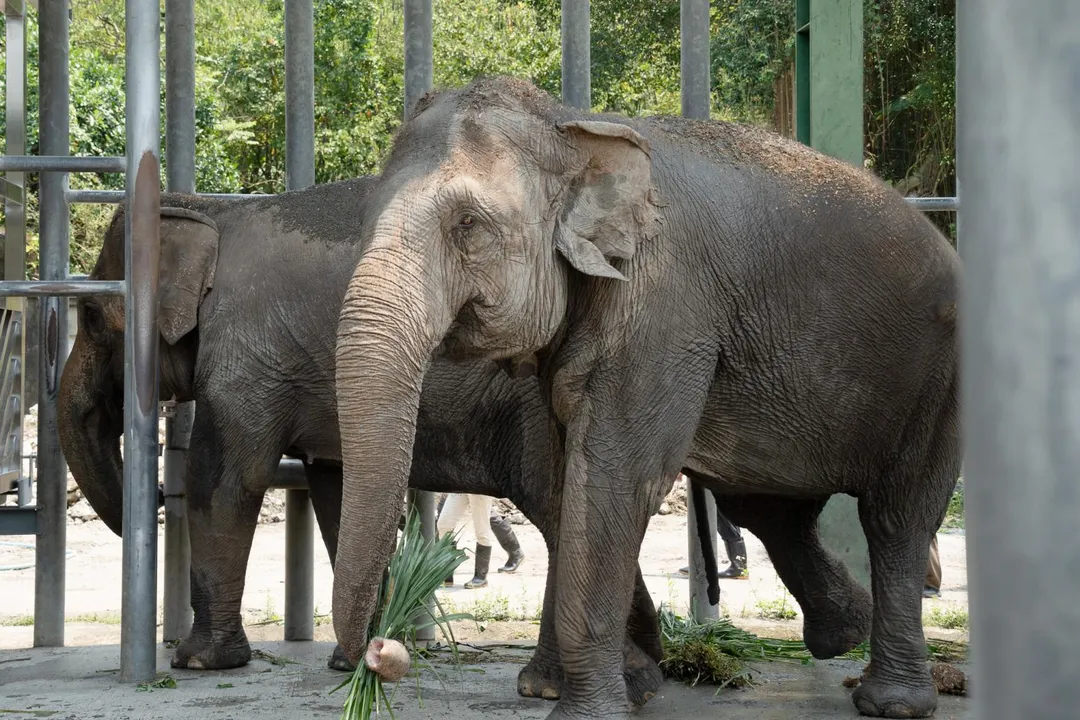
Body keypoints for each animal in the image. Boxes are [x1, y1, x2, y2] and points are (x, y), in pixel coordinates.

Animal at [55, 176, 667, 700]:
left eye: (90, 315)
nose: (159, 499)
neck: (207, 209)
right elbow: (339, 490)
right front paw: (351, 663)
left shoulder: (247, 360)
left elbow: (225, 481)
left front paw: (199, 663)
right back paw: (637, 670)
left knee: (562, 510)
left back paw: (550, 686)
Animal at [330, 76, 961, 720]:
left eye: (467, 224)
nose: (379, 653)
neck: (571, 125)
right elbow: (564, 481)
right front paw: (614, 688)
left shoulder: (663, 308)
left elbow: (614, 478)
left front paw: (588, 711)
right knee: (768, 506)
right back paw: (843, 634)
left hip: (939, 378)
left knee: (896, 517)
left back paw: (893, 701)